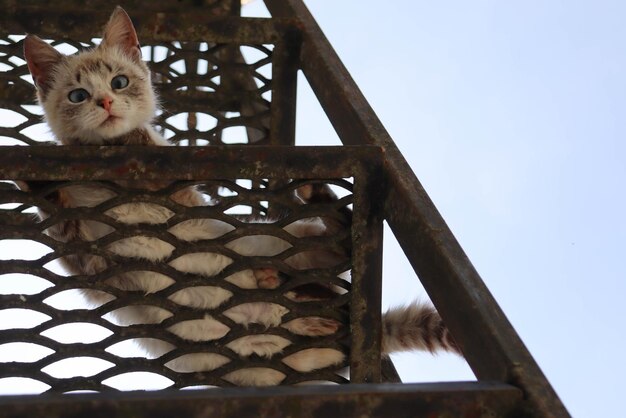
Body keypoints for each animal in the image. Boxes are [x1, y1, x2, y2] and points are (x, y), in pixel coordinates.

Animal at [22, 5, 458, 386]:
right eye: (78, 96)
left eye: (119, 82)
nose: (107, 103)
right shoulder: (95, 267)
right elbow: (65, 228)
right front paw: (38, 183)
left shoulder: (180, 198)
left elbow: (153, 162)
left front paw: (132, 134)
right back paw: (300, 309)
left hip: (277, 240)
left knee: (338, 248)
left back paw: (303, 225)